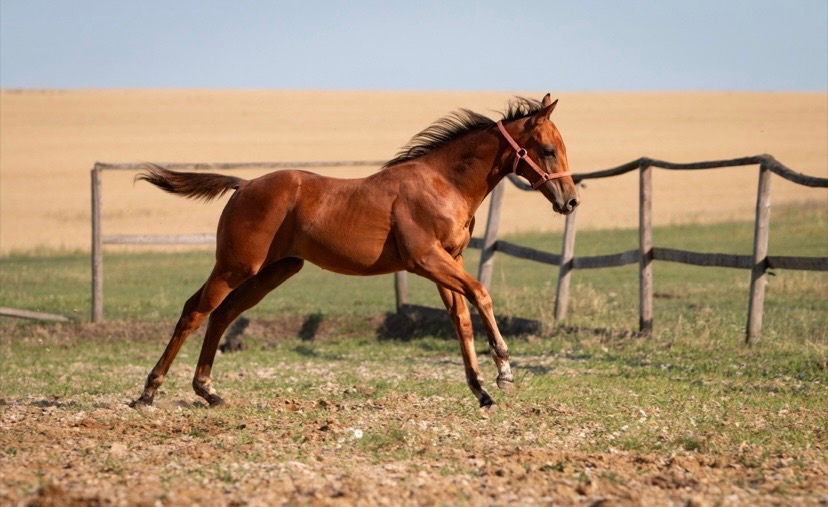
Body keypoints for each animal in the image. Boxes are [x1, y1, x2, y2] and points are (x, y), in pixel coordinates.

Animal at [130, 93, 579, 410]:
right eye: (548, 150)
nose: (571, 201)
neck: (442, 184)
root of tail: (244, 186)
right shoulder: (425, 260)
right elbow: (481, 295)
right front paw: (504, 369)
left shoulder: (450, 262)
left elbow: (462, 320)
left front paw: (482, 391)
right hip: (235, 266)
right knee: (195, 311)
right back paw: (148, 393)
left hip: (274, 271)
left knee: (222, 314)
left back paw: (207, 391)